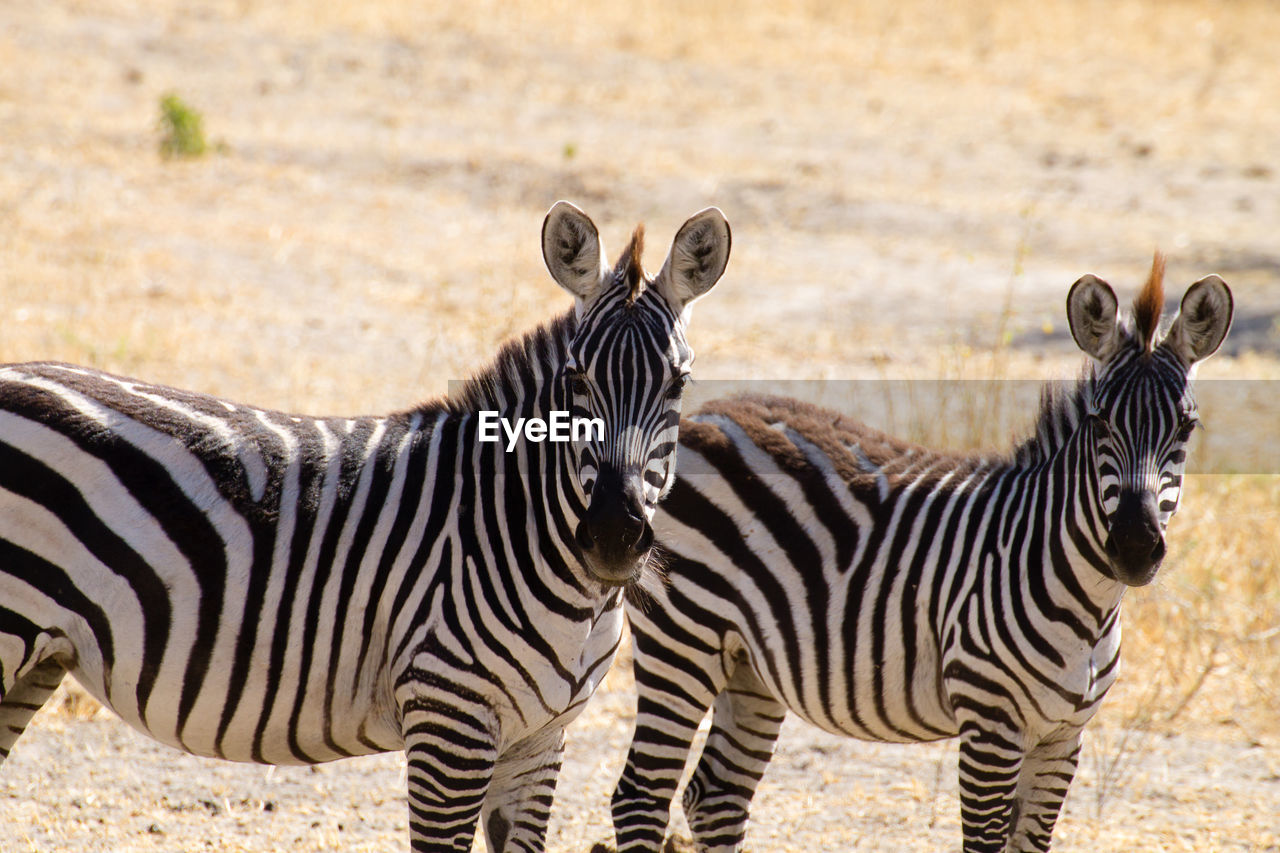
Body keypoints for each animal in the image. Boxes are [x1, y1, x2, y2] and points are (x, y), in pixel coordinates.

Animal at [0, 201, 732, 850]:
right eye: (577, 379)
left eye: (678, 383)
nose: (613, 535)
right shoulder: (449, 718)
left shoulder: (539, 741)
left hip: (39, 657)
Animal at [614, 258, 1233, 850]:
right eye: (1100, 422)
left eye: (1187, 426)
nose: (1134, 546)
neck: (1085, 596)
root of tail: (704, 415)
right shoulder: (990, 725)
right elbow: (983, 843)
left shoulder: (1062, 737)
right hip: (682, 639)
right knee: (640, 795)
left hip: (748, 662)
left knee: (715, 796)